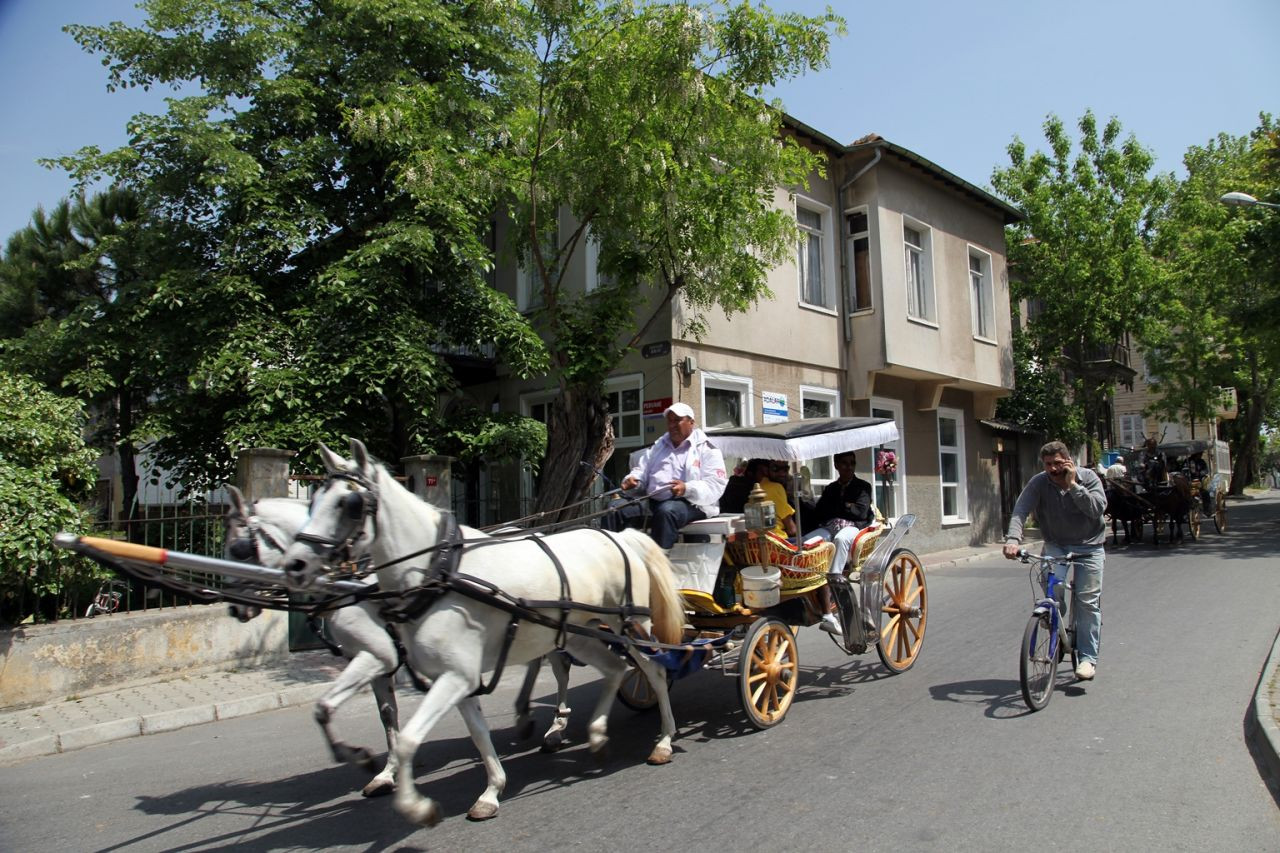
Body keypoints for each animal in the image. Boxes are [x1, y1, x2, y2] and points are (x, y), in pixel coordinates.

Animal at [224, 489, 576, 794]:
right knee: (539, 660)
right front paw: (386, 773)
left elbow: (337, 708)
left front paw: (363, 759)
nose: (234, 608)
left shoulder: (377, 654)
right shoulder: (377, 664)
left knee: (558, 666)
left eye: (239, 549)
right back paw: (527, 716)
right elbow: (387, 715)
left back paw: (554, 727)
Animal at [277, 438, 680, 824]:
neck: (436, 573)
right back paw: (595, 734)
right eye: (314, 500)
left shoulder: (439, 672)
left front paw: (415, 807)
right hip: (578, 634)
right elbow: (475, 732)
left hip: (631, 625)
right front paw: (491, 792)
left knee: (654, 671)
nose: (295, 565)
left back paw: (663, 740)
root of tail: (620, 537)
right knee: (615, 669)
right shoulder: (456, 675)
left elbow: (406, 738)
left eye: (350, 503)